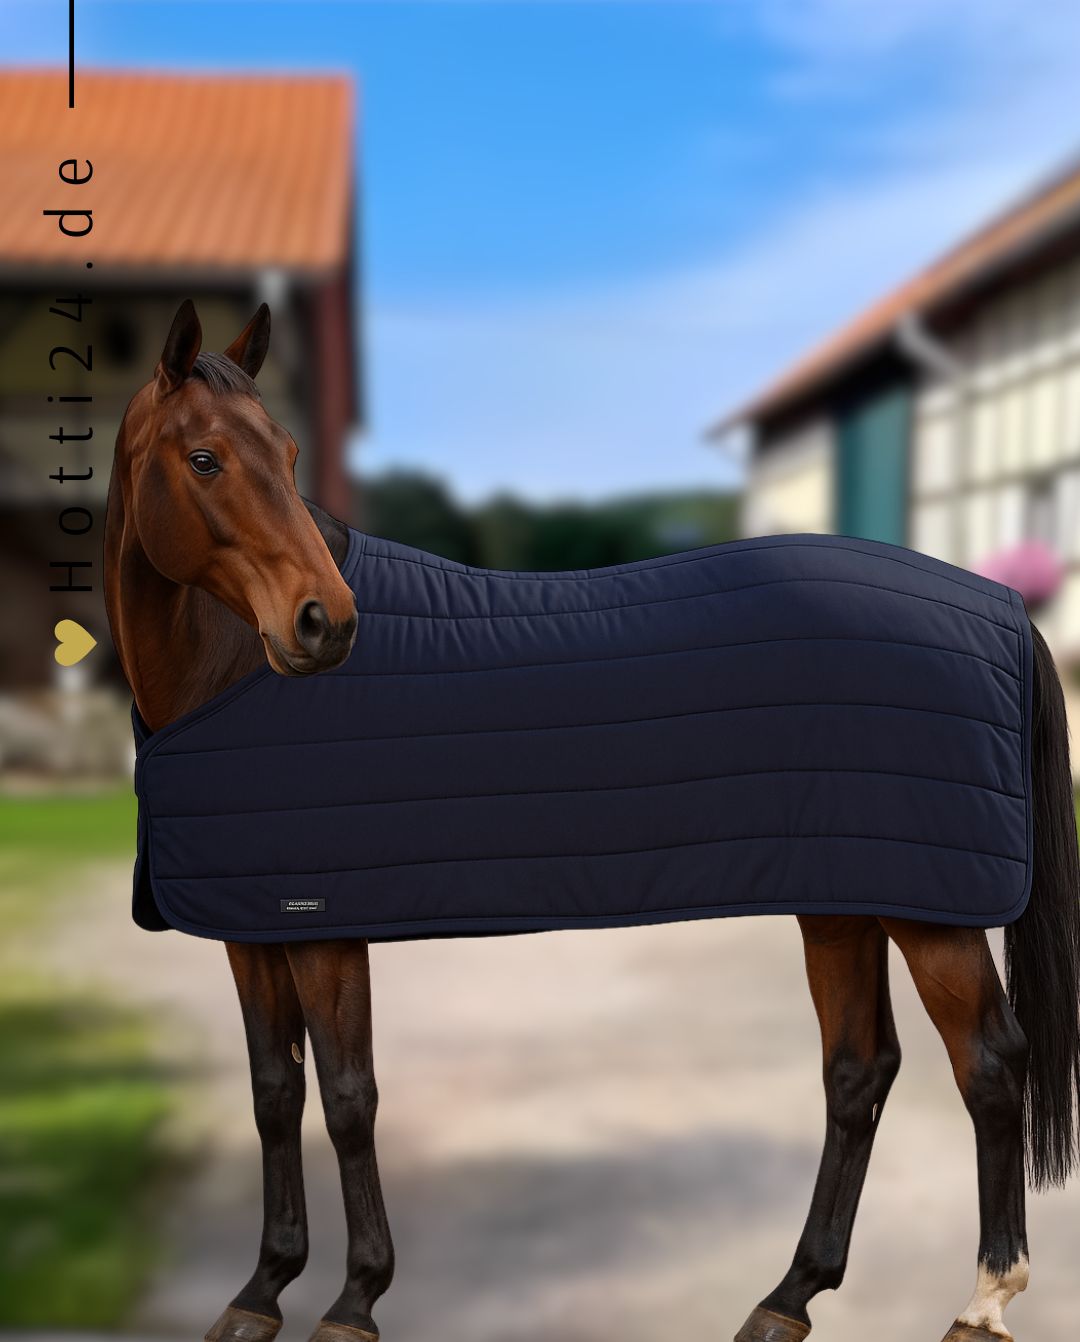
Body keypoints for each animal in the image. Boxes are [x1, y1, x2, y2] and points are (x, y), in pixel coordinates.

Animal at [105, 300, 1080, 1342]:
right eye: (204, 458)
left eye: (288, 454)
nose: (324, 623)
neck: (230, 676)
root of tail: (999, 603)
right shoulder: (252, 928)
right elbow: (275, 1093)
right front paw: (261, 1290)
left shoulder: (324, 928)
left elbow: (346, 1099)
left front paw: (355, 1298)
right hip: (843, 900)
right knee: (859, 1071)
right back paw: (788, 1296)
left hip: (929, 913)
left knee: (988, 1063)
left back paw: (984, 1299)